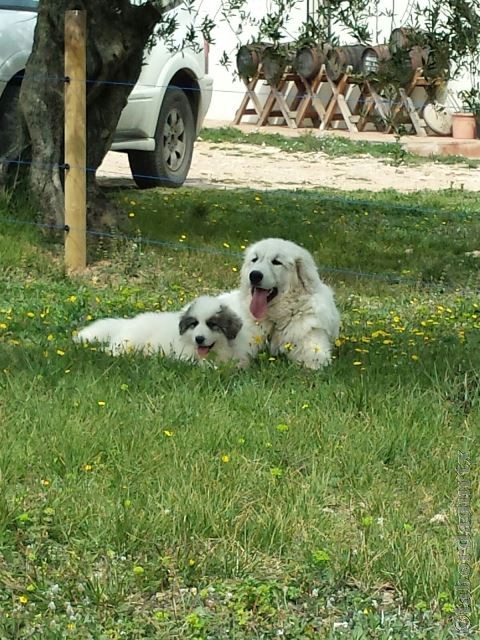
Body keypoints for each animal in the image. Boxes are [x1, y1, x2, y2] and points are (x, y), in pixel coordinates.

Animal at [76, 296, 248, 364]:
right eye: (194, 324)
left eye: (212, 325)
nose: (199, 339)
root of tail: (128, 322)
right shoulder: (182, 355)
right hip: (129, 342)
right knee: (109, 350)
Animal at [219, 239, 340, 370]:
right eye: (255, 259)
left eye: (276, 262)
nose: (254, 275)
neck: (275, 320)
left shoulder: (312, 346)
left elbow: (314, 360)